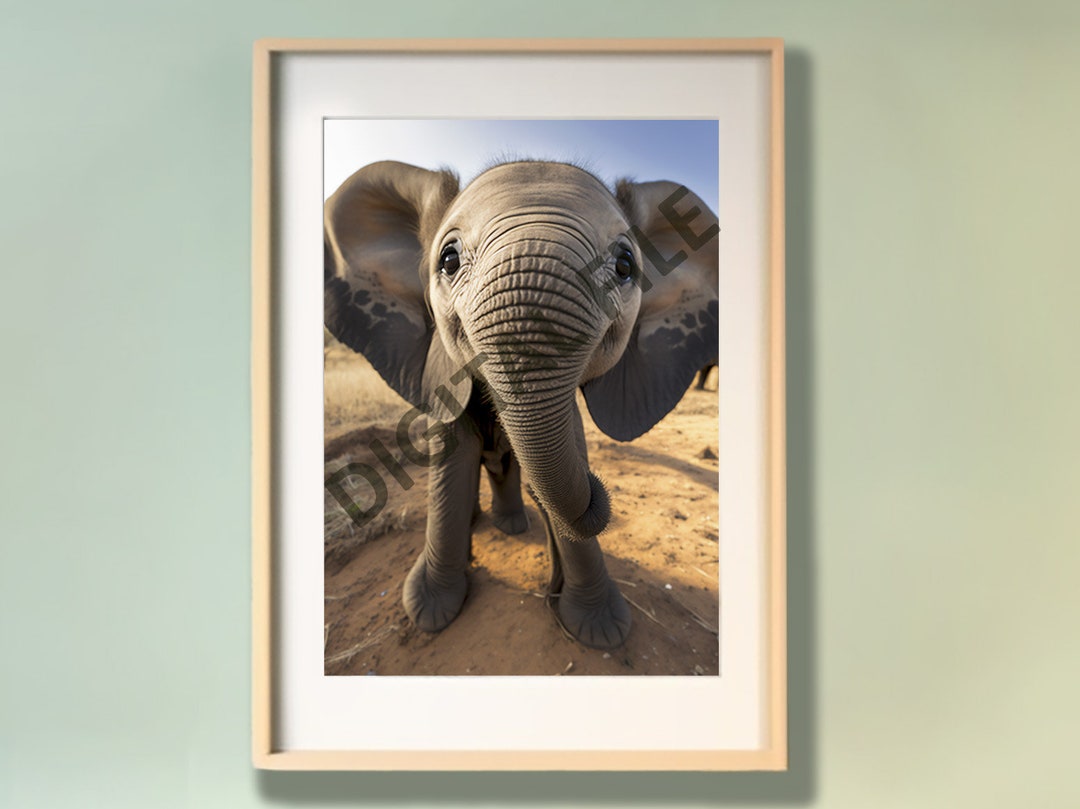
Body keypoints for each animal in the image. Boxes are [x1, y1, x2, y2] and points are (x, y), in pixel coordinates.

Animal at [324, 159, 718, 650]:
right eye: (448, 260)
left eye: (626, 265)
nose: (597, 493)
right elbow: (451, 468)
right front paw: (431, 613)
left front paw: (600, 631)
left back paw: (513, 526)